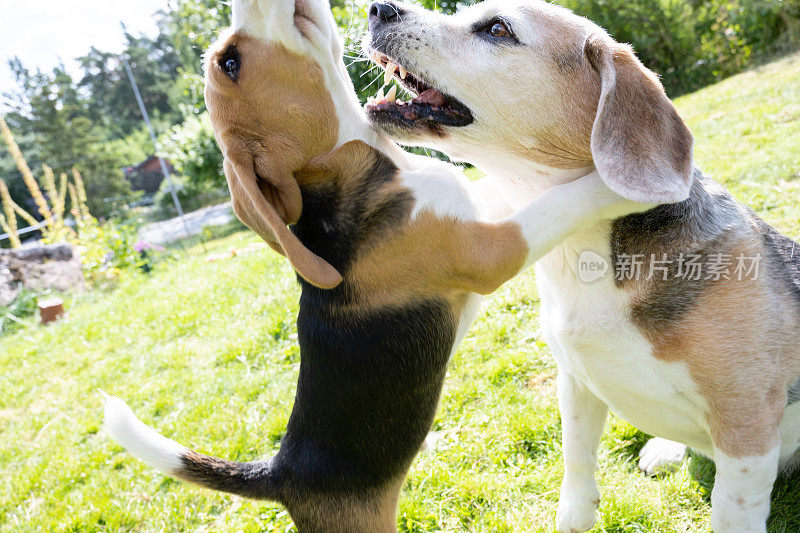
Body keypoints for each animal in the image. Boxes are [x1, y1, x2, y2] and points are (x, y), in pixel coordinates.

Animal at [104, 0, 644, 528]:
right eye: (230, 63)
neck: (379, 169)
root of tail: (279, 473)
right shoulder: (491, 250)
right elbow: (562, 202)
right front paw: (611, 185)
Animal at [366, 1, 800, 532]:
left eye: (497, 28)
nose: (379, 9)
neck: (579, 254)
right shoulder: (574, 380)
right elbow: (576, 464)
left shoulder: (746, 424)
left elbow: (731, 508)